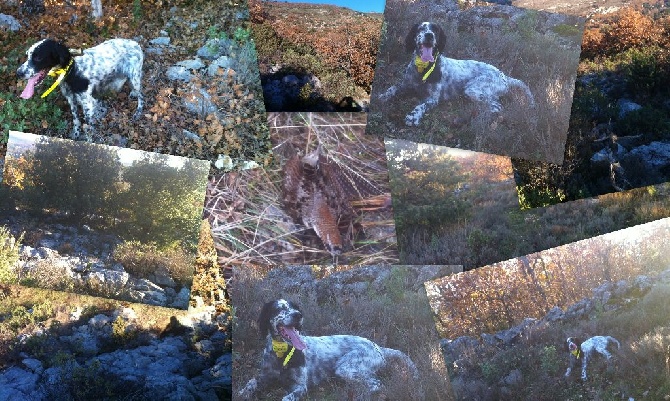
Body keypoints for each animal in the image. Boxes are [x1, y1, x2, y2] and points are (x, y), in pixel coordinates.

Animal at [16, 38, 144, 139]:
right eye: (27, 55)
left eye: (38, 57)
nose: (18, 73)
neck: (72, 70)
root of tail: (135, 44)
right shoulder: (71, 98)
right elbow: (76, 119)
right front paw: (76, 135)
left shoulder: (88, 103)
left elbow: (89, 128)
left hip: (134, 78)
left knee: (142, 96)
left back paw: (138, 112)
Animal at [240, 298, 420, 398]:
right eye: (279, 308)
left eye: (294, 307)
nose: (298, 315)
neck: (281, 354)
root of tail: (377, 346)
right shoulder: (265, 376)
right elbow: (251, 382)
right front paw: (242, 393)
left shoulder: (300, 387)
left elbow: (286, 398)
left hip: (346, 368)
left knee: (376, 384)